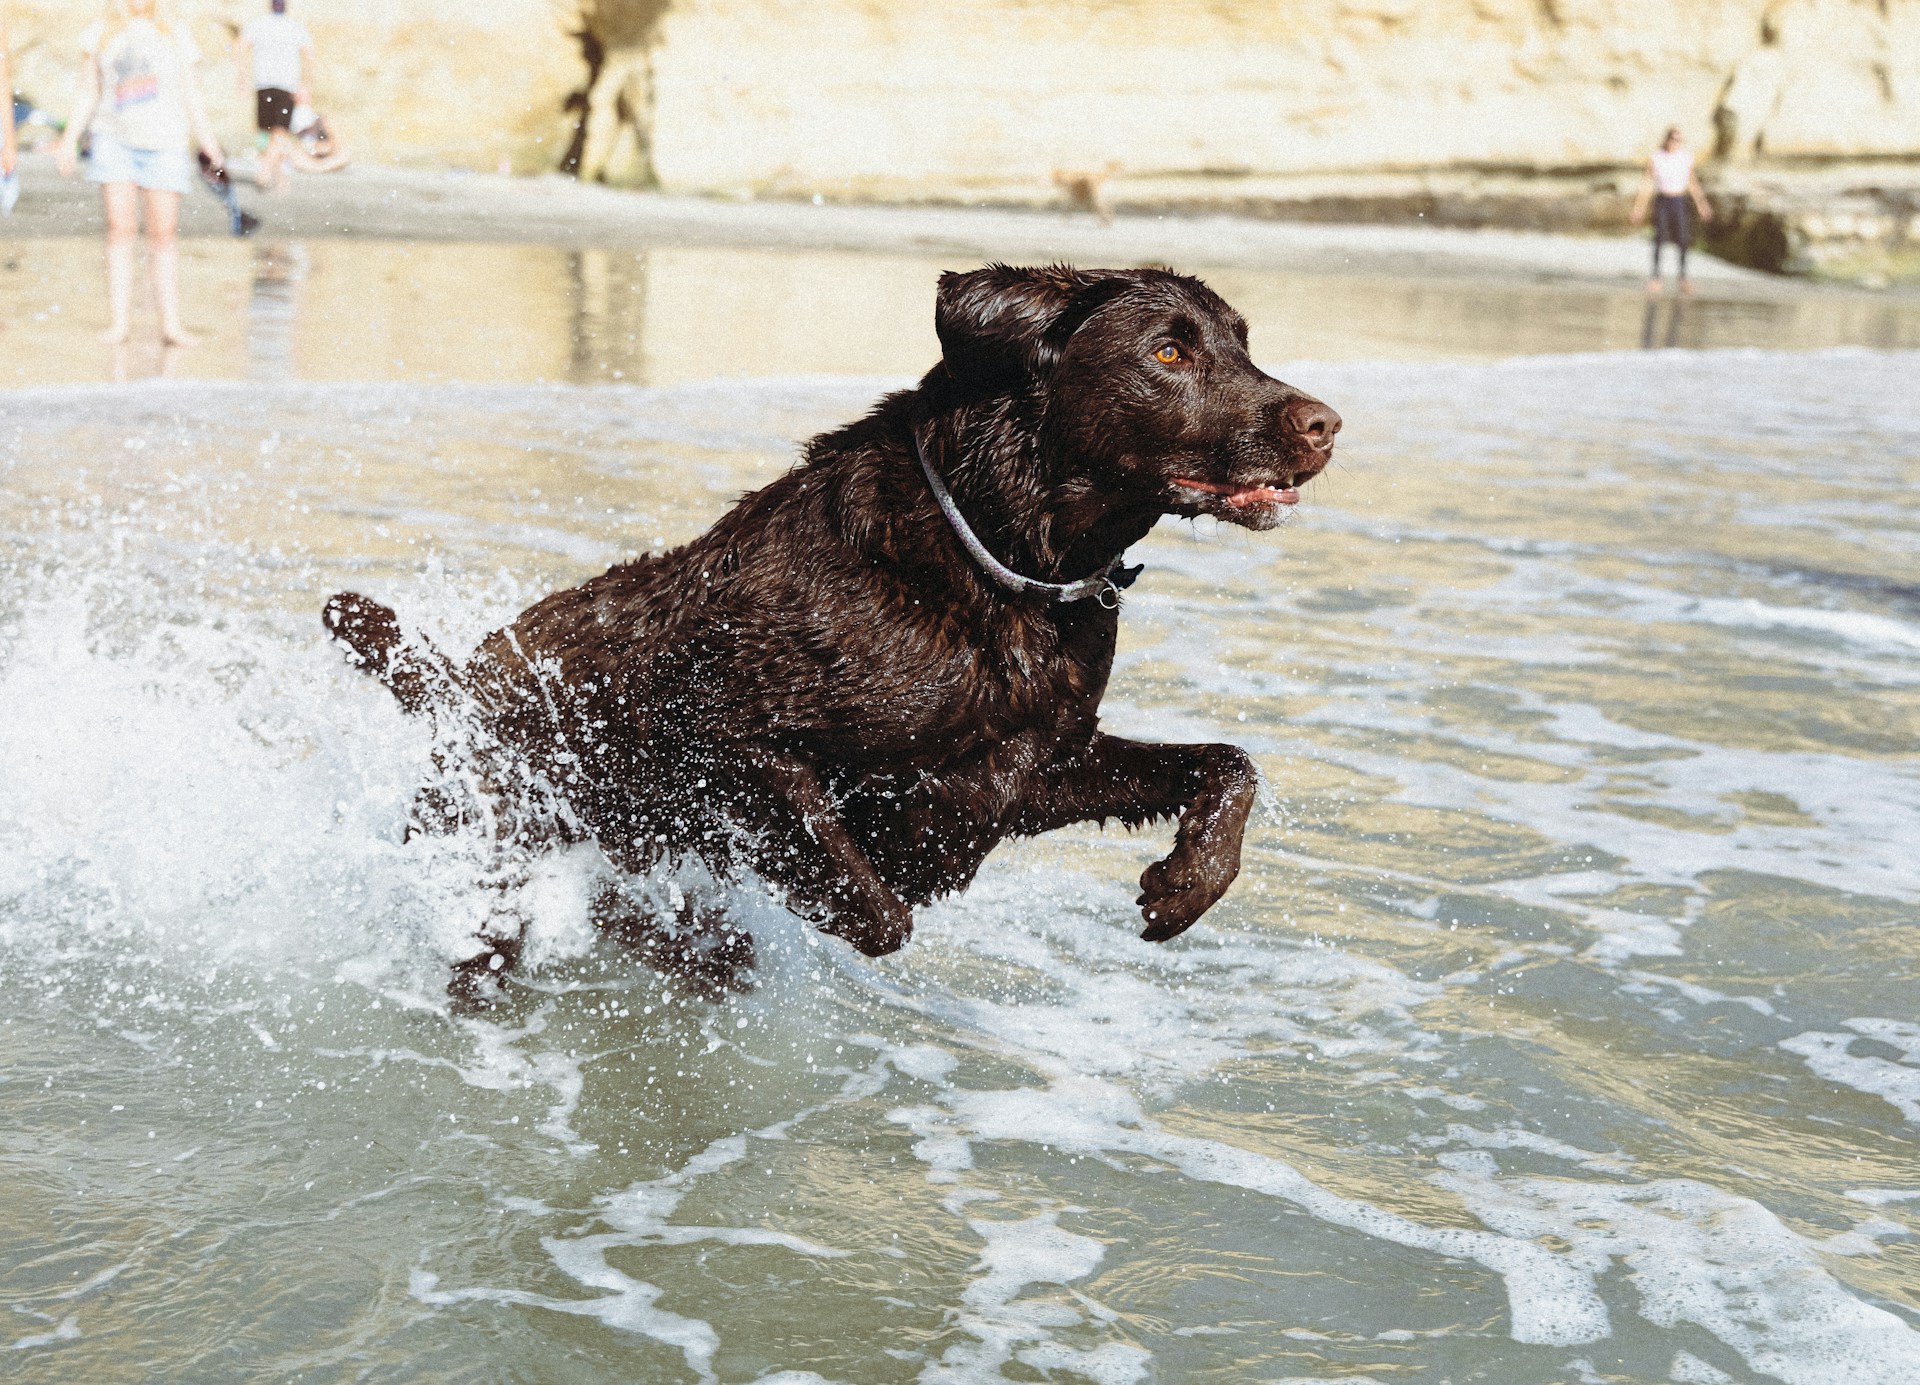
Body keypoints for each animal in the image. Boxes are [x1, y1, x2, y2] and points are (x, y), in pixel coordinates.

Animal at [322, 265, 1344, 991]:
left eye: (1243, 343)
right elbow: (875, 904)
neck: (1000, 564)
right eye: (1170, 353)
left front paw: (1188, 881)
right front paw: (702, 930)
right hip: (487, 837)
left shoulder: (1035, 768)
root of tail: (461, 679)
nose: (1326, 424)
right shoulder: (730, 736)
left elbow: (1230, 763)